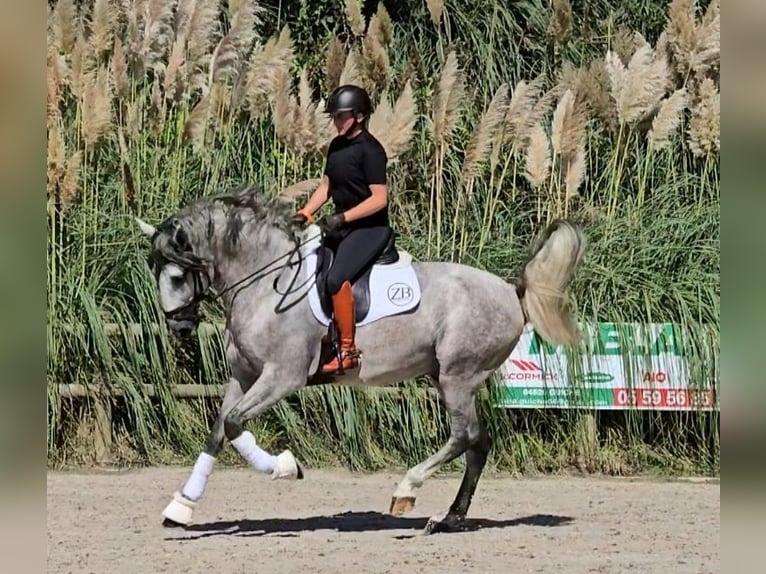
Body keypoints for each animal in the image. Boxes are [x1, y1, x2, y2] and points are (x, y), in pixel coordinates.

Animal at [135, 184, 584, 536]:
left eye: (177, 275)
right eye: (155, 272)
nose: (179, 326)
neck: (265, 281)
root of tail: (512, 291)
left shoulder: (283, 376)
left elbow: (233, 424)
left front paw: (285, 467)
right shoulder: (243, 376)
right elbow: (218, 430)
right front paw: (182, 506)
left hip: (458, 376)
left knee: (463, 436)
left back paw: (406, 491)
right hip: (446, 377)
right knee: (478, 442)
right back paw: (450, 519)